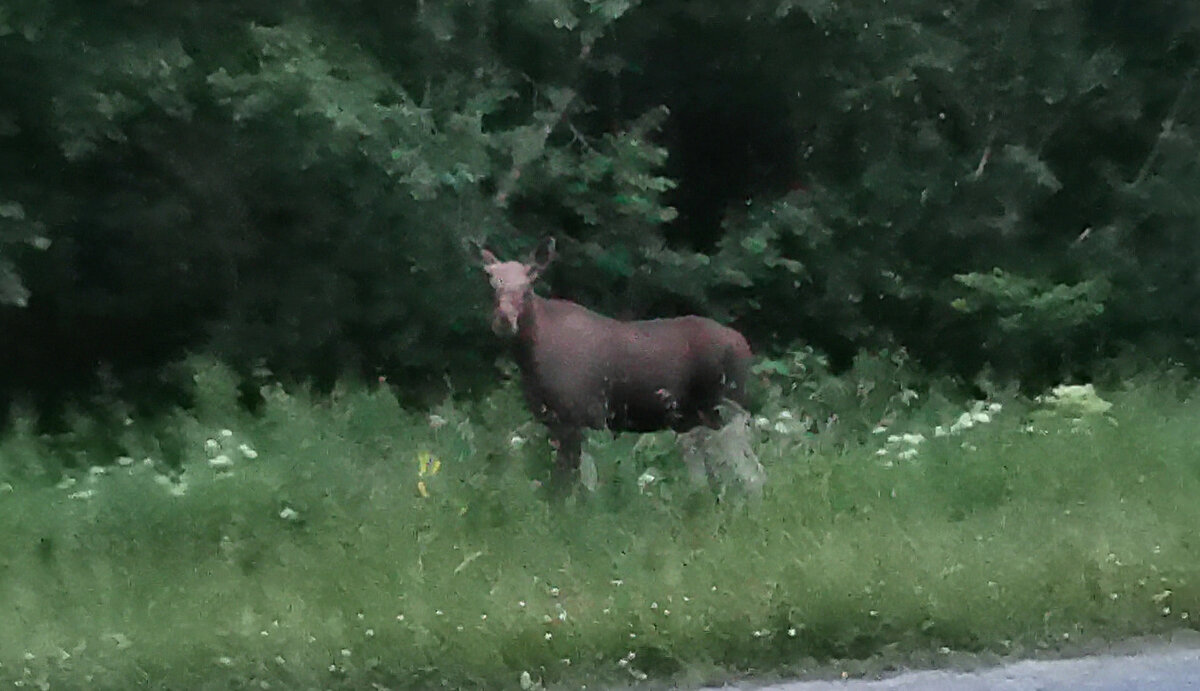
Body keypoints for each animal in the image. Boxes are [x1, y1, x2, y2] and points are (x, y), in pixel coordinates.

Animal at [475, 239, 748, 489]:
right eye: (493, 284)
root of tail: (744, 345)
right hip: (696, 419)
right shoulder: (556, 420)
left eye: (527, 286)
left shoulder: (584, 415)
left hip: (724, 409)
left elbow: (576, 483)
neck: (531, 361)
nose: (504, 320)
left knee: (745, 470)